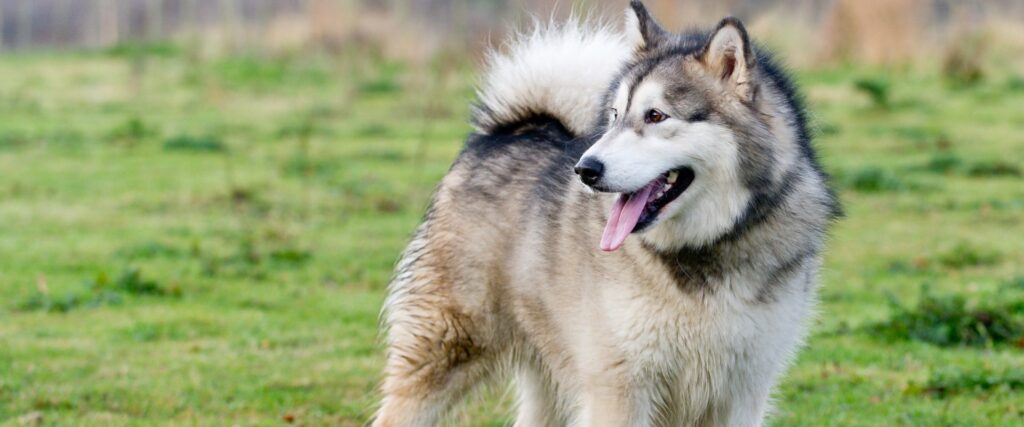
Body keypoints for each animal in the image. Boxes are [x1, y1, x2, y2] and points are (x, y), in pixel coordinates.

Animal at [372, 1, 835, 423]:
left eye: (656, 115)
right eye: (614, 116)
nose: (585, 169)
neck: (701, 253)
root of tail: (510, 131)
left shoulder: (741, 393)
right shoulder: (618, 388)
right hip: (444, 350)